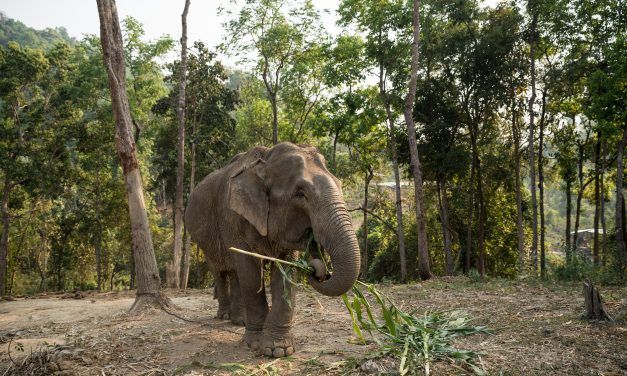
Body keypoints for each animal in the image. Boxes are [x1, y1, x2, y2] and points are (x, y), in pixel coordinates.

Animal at [185, 142, 358, 356]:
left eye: (340, 185)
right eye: (301, 194)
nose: (316, 270)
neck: (265, 162)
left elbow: (285, 274)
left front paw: (279, 350)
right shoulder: (233, 218)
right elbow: (250, 272)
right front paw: (255, 345)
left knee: (234, 272)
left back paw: (239, 321)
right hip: (204, 238)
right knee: (221, 270)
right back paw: (225, 316)